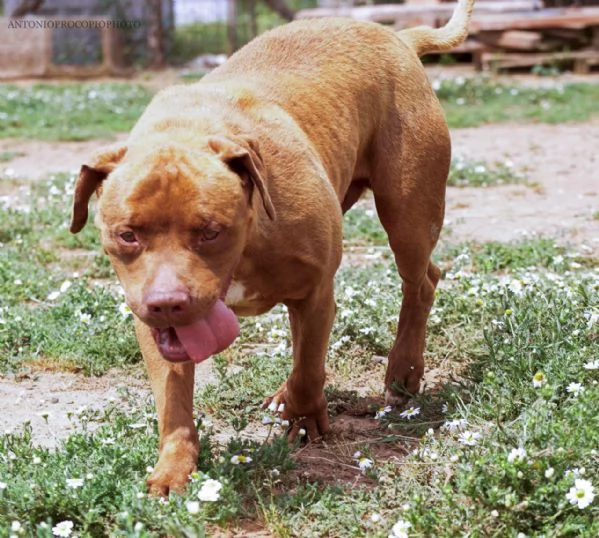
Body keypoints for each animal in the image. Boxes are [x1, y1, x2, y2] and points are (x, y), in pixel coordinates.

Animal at [69, 0, 474, 494]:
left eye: (210, 231)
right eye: (127, 234)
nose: (168, 302)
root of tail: (397, 37)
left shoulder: (316, 292)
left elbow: (309, 367)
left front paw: (304, 418)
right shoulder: (153, 324)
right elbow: (173, 400)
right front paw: (174, 467)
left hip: (408, 215)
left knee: (421, 282)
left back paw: (403, 372)